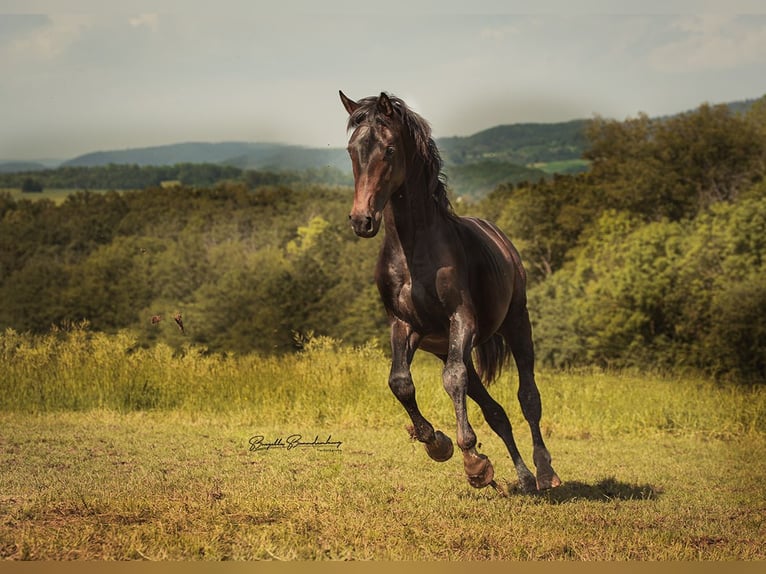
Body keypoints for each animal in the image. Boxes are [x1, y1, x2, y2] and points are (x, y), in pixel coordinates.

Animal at [340, 91, 560, 496]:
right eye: (352, 150)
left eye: (389, 149)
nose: (362, 220)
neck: (414, 251)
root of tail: (500, 237)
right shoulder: (404, 326)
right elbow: (400, 382)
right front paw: (437, 443)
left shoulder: (462, 319)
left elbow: (452, 380)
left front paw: (472, 460)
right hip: (449, 347)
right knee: (496, 411)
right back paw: (522, 478)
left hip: (516, 324)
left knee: (527, 397)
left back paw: (544, 471)